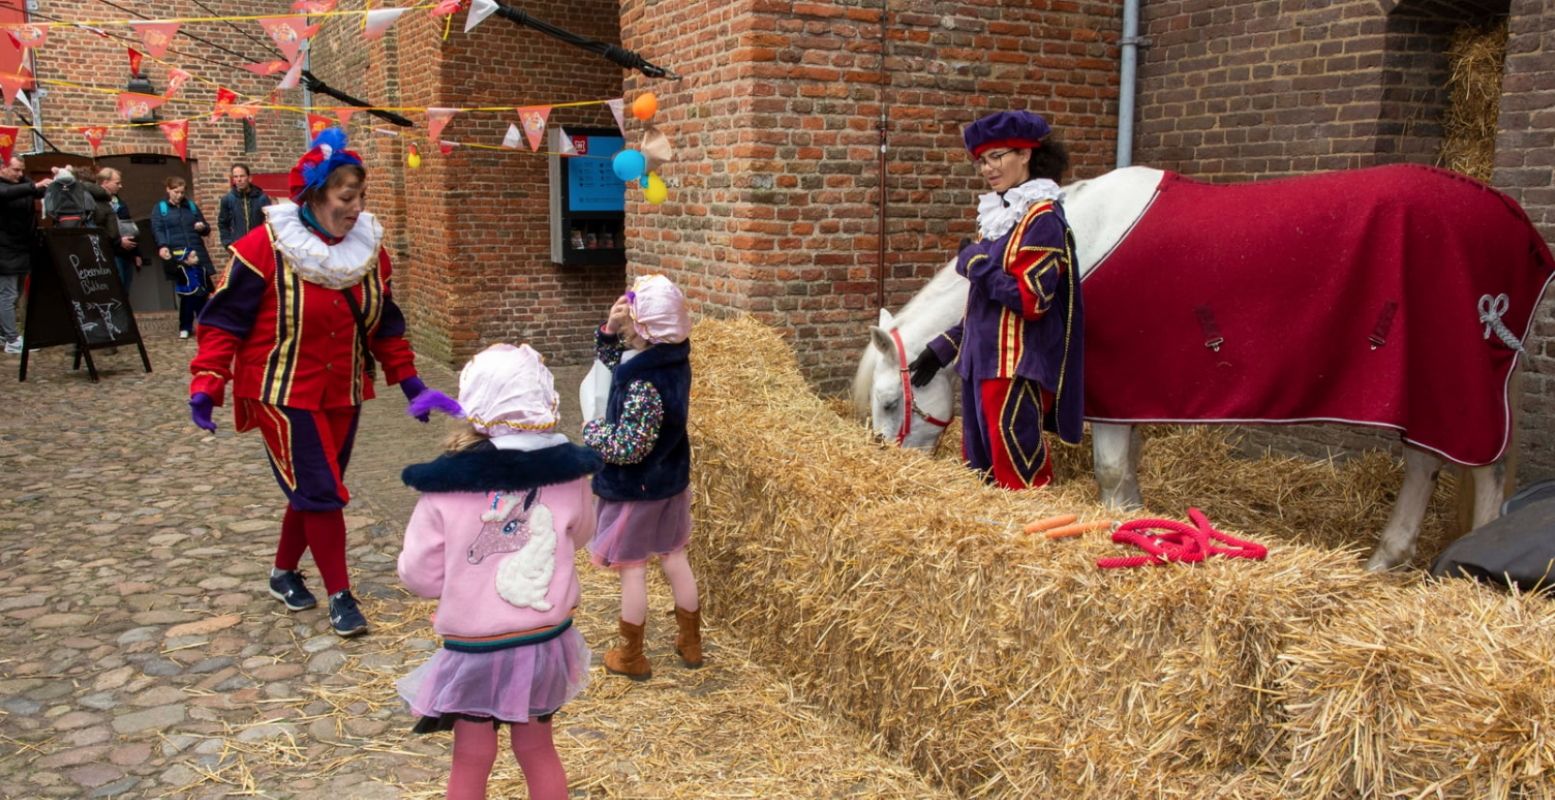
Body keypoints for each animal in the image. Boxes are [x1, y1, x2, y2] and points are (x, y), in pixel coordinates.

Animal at [864, 164, 1542, 569]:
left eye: (892, 402)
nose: (889, 475)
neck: (1076, 239)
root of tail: (1514, 223)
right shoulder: (1131, 396)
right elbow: (1127, 478)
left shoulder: (1113, 391)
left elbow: (1112, 472)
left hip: (1445, 397)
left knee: (1466, 469)